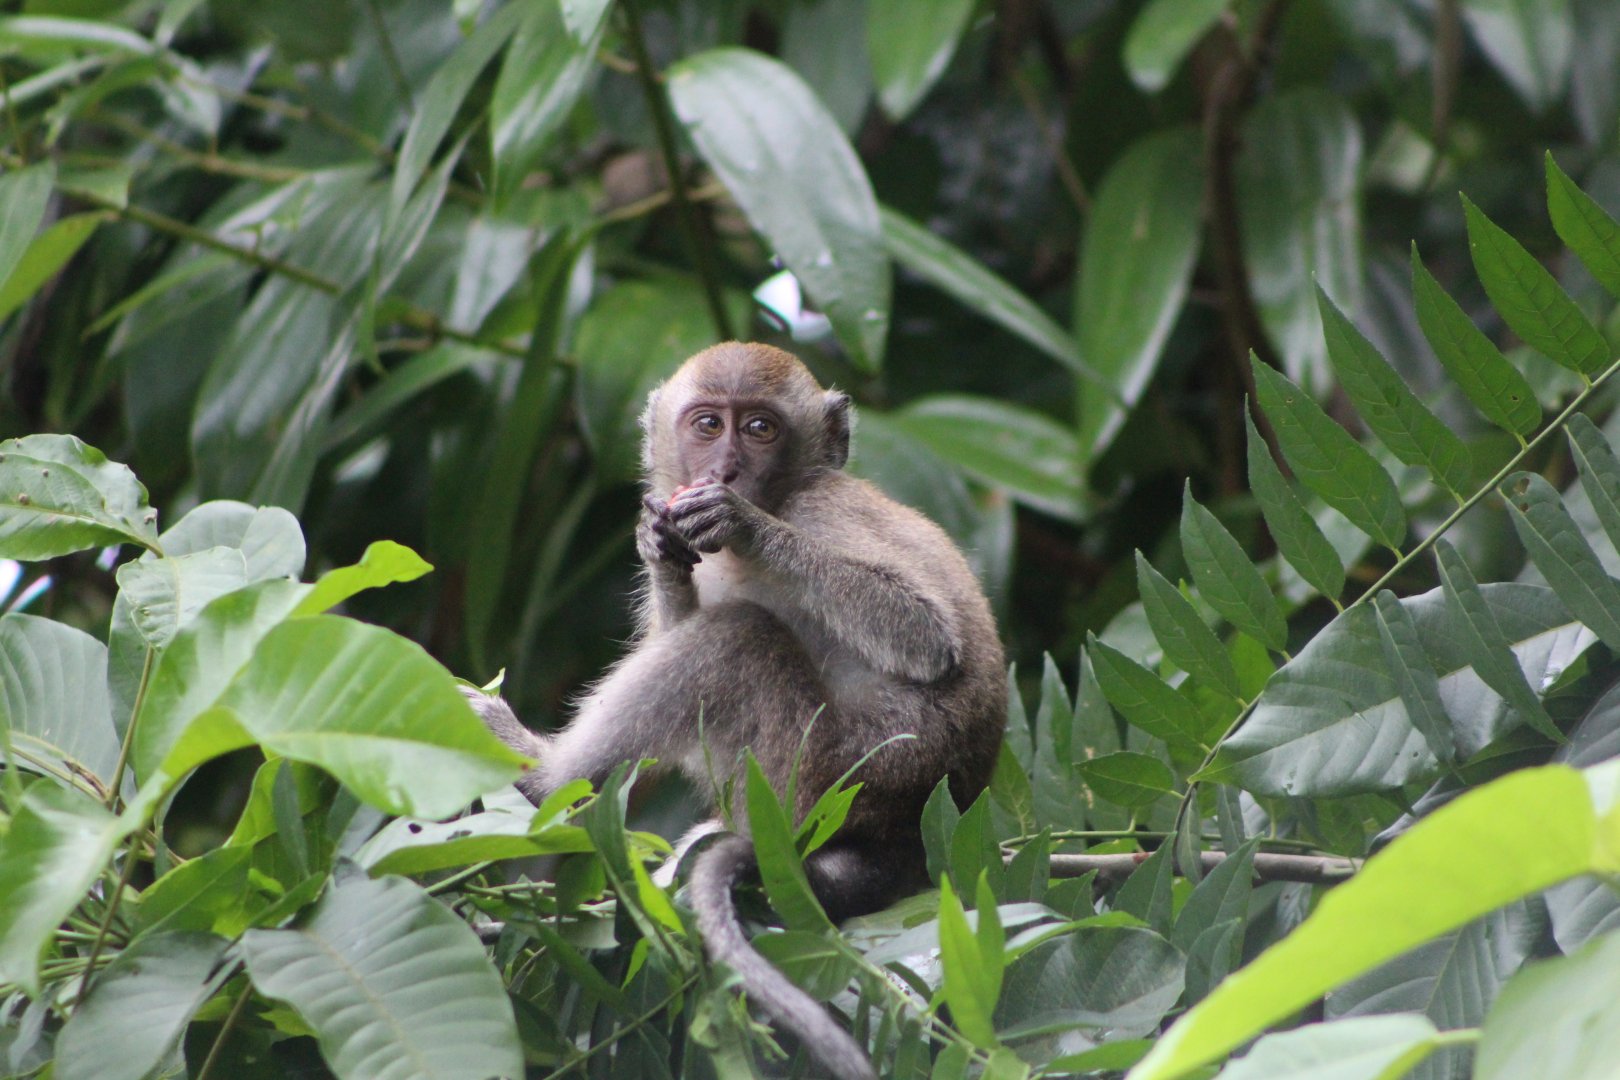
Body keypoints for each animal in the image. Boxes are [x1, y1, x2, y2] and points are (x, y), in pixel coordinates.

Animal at [464, 341, 1006, 1080]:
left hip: (815, 774)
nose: (724, 471)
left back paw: (543, 775)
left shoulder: (824, 510)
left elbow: (928, 639)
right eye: (706, 424)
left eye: (759, 429)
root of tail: (902, 841)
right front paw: (659, 552)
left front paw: (745, 525)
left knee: (736, 637)